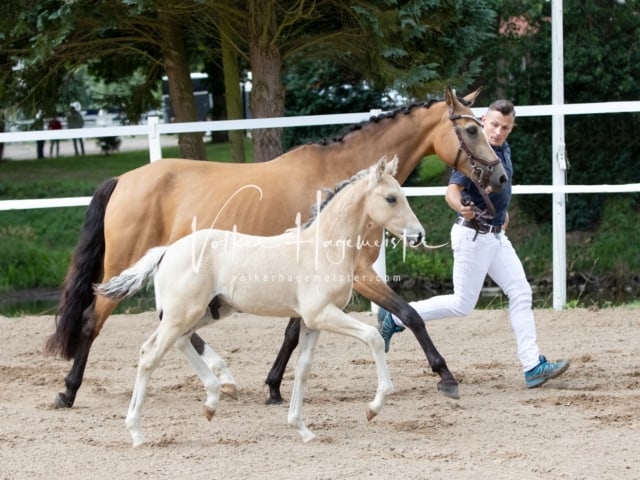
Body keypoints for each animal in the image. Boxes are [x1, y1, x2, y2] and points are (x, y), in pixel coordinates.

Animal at [95, 158, 422, 446]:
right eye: (391, 198)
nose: (418, 235)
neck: (323, 246)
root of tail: (166, 251)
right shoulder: (321, 314)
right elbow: (373, 337)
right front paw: (374, 407)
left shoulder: (312, 322)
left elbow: (303, 368)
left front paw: (302, 429)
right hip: (183, 314)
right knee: (151, 355)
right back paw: (137, 432)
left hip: (204, 313)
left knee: (174, 343)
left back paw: (212, 401)